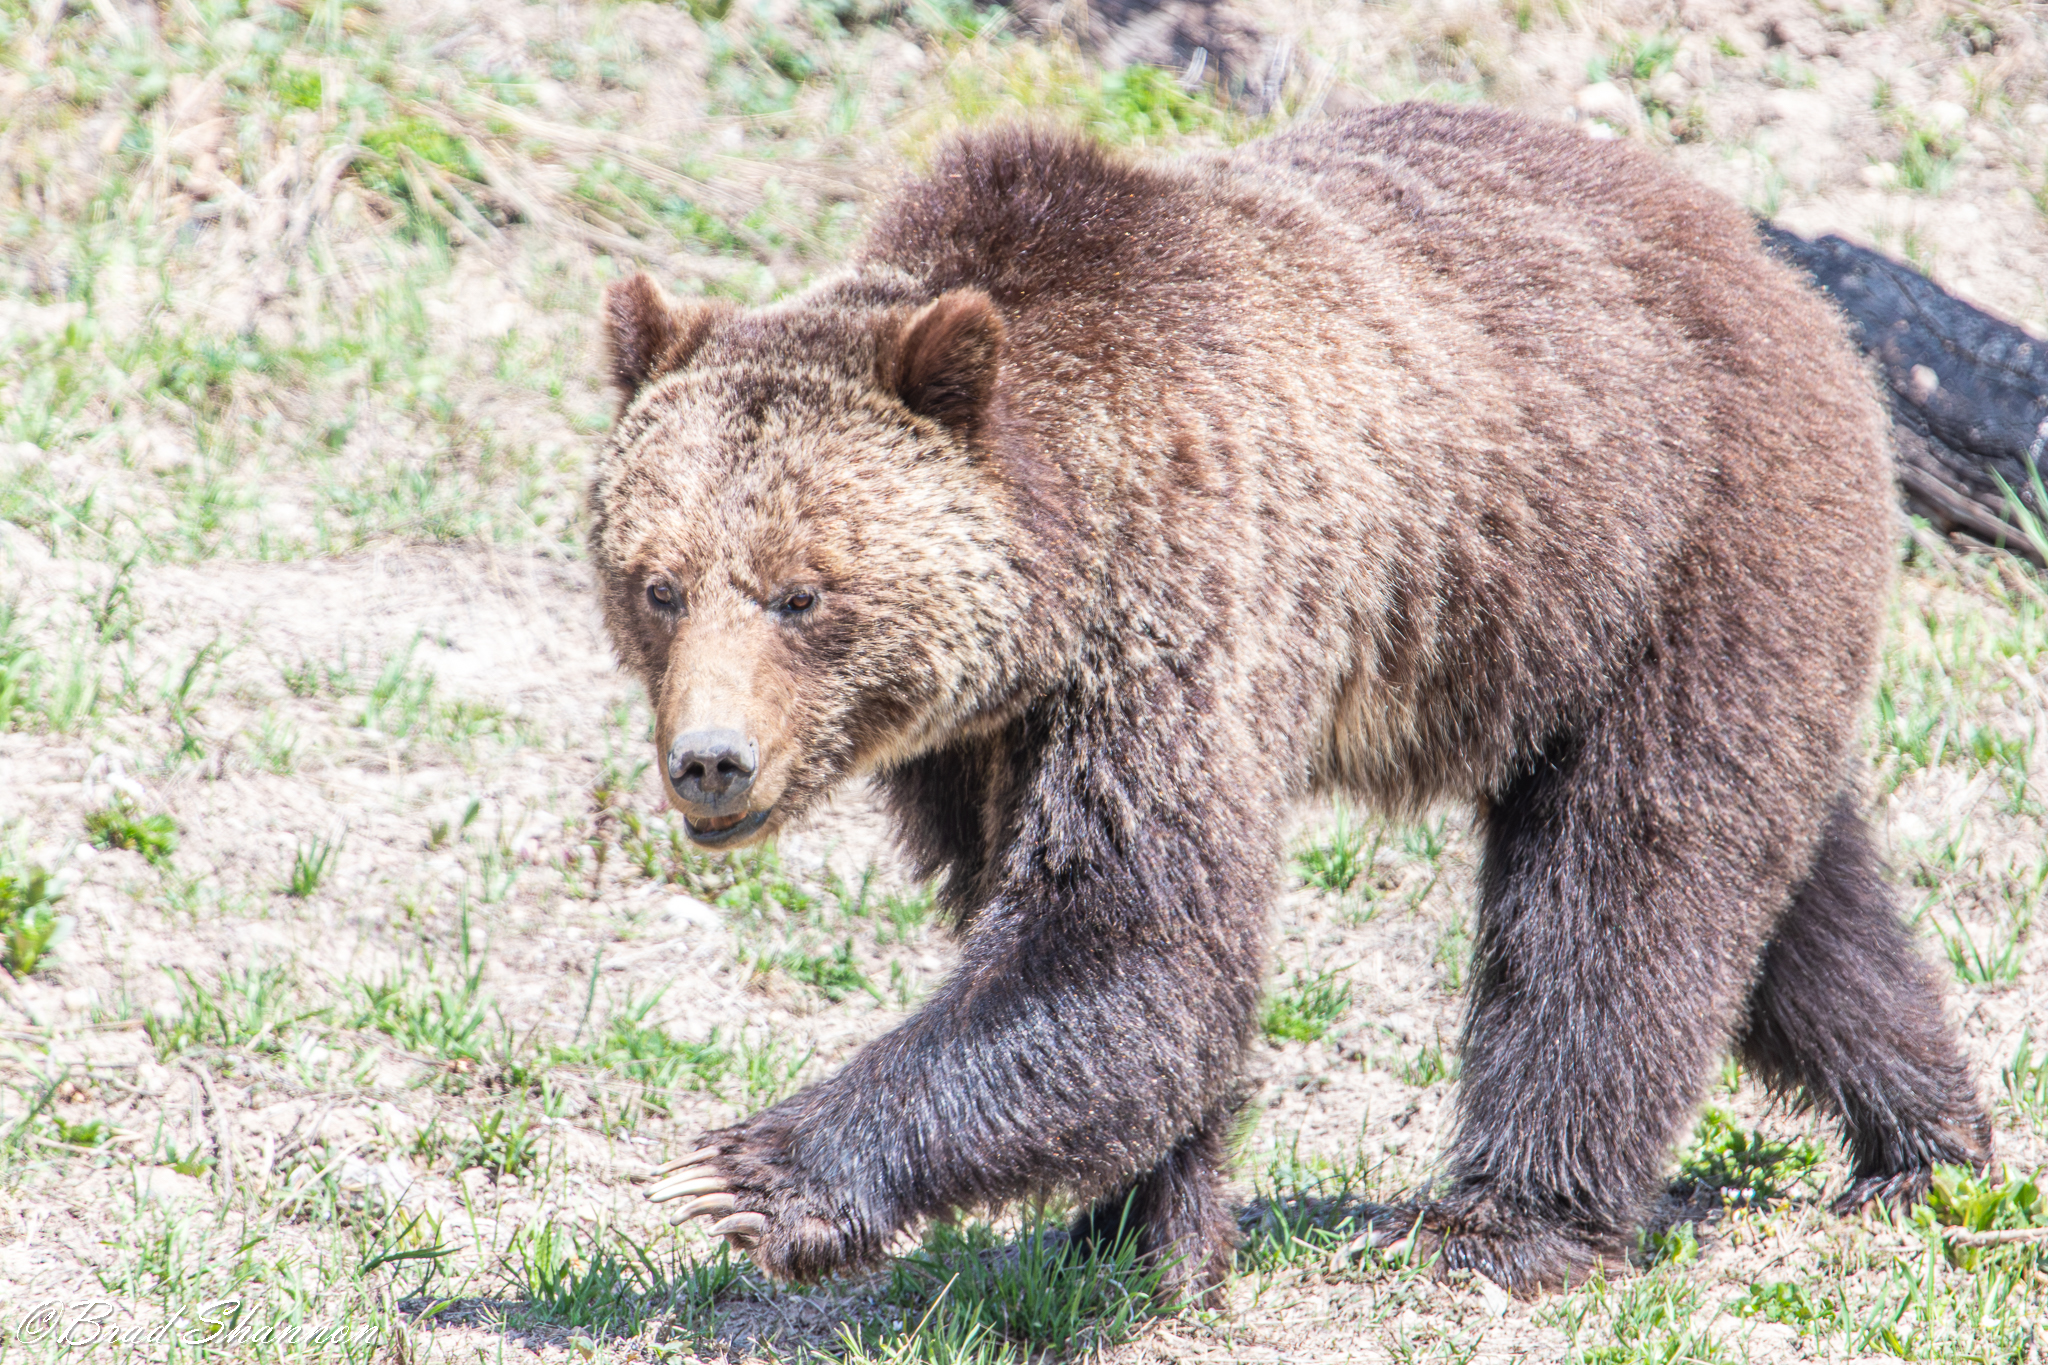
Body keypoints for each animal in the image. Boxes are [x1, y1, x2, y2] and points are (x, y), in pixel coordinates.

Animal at [588, 103, 1992, 1304]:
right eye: (657, 584)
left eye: (798, 593)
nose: (710, 761)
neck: (1060, 572)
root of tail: (1775, 267)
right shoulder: (978, 737)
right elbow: (1082, 950)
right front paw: (1135, 1238)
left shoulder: (1186, 615)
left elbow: (1137, 936)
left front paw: (742, 1176)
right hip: (1608, 620)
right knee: (1793, 887)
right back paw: (1924, 1142)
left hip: (1673, 538)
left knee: (1625, 881)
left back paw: (1508, 1223)